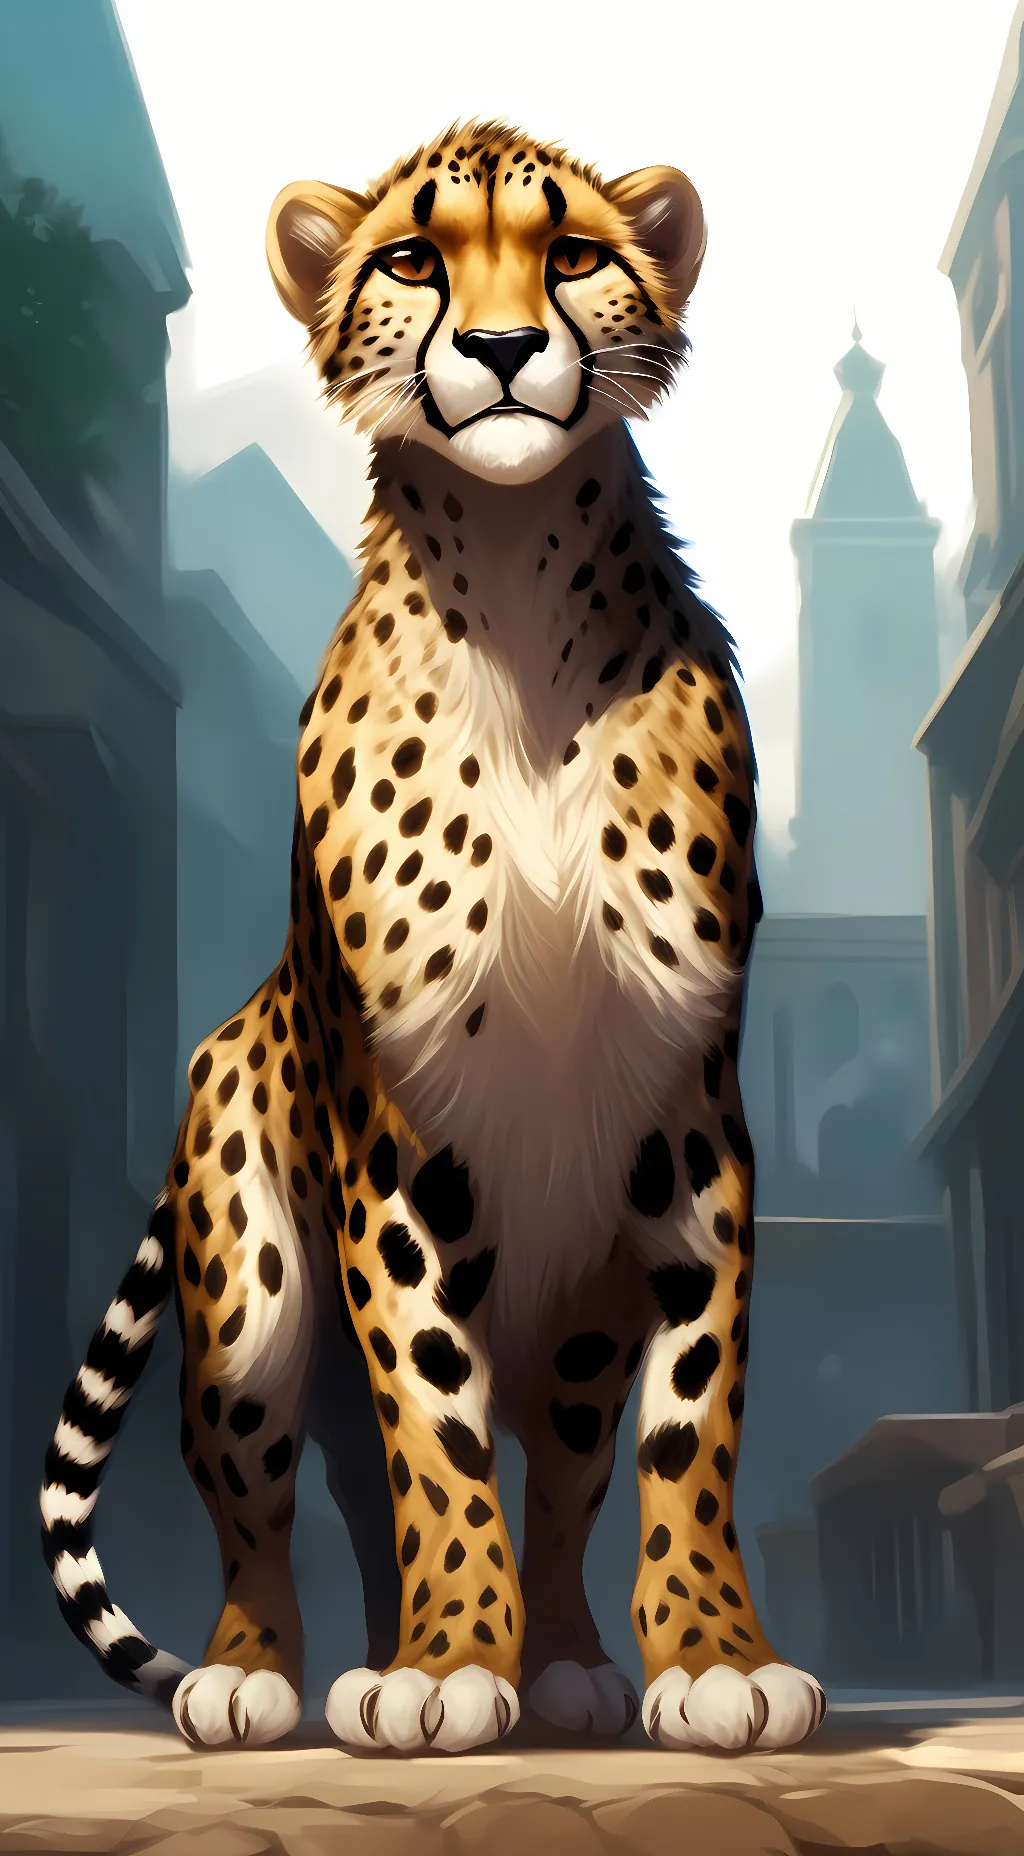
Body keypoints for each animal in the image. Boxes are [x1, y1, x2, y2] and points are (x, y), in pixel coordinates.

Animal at [40, 118, 825, 1757]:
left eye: (572, 252)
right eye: (414, 256)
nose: (506, 346)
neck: (518, 588)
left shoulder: (689, 1122)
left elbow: (689, 1427)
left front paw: (713, 1656)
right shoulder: (390, 1138)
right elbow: (432, 1424)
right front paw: (446, 1661)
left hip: (583, 1307)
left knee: (566, 1473)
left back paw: (570, 1663)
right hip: (256, 1296)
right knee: (266, 1491)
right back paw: (260, 1673)